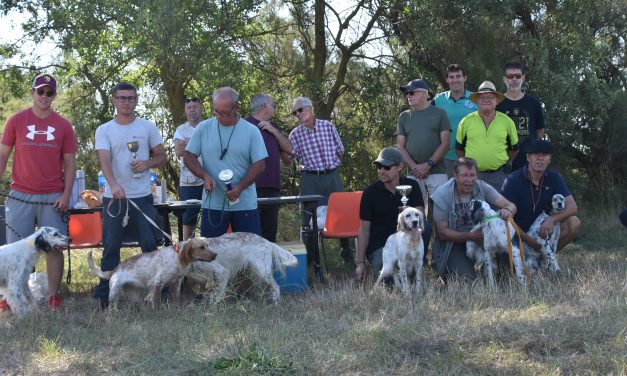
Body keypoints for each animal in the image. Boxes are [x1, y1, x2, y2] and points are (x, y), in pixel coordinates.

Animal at [87, 238, 216, 308]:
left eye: (207, 245)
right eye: (201, 247)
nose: (215, 255)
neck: (178, 258)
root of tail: (115, 269)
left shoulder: (176, 284)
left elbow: (177, 300)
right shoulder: (157, 283)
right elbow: (157, 302)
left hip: (136, 295)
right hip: (114, 293)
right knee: (111, 308)